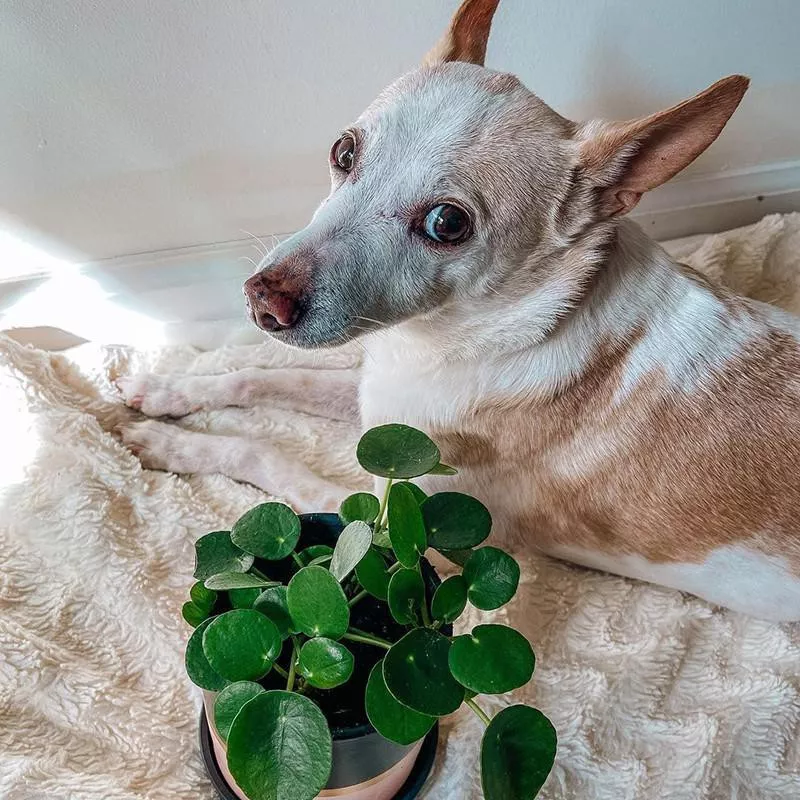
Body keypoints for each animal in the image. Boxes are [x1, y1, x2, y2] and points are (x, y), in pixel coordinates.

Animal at [117, 0, 800, 620]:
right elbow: (260, 375)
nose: (264, 299)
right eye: (344, 152)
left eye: (447, 223)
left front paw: (171, 445)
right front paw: (163, 392)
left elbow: (266, 459)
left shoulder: (398, 540)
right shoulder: (381, 407)